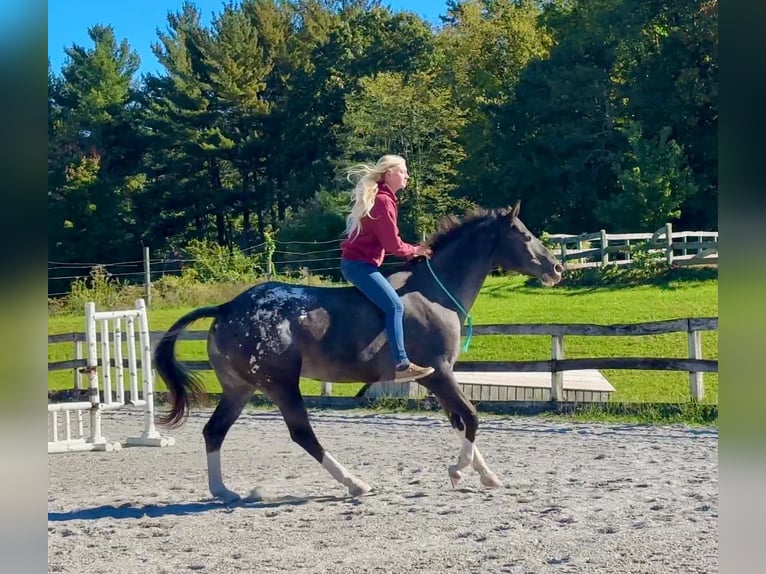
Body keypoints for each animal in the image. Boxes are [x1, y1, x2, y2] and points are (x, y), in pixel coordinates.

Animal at [154, 202, 563, 502]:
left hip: (240, 387)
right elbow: (472, 416)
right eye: (525, 235)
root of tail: (227, 307)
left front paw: (487, 476)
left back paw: (223, 491)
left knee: (214, 431)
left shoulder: (435, 379)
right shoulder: (440, 373)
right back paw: (355, 484)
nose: (557, 268)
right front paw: (458, 471)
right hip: (281, 384)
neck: (434, 294)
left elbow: (459, 421)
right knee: (302, 434)